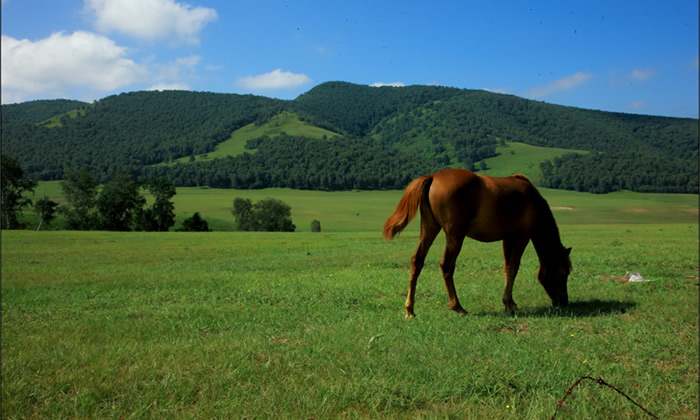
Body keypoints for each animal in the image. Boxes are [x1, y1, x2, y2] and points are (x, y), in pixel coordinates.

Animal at [382, 168, 576, 318]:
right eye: (564, 272)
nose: (564, 301)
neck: (532, 201)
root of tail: (433, 177)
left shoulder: (508, 238)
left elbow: (507, 268)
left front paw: (510, 302)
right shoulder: (521, 237)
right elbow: (514, 267)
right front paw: (508, 304)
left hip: (429, 229)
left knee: (417, 261)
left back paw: (410, 309)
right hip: (455, 236)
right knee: (447, 266)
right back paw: (458, 307)